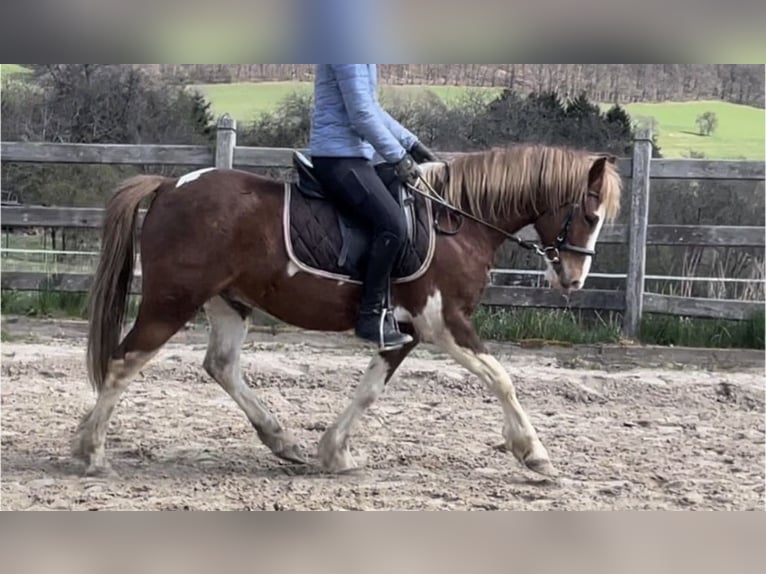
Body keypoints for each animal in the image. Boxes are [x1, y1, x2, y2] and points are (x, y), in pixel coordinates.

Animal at [73, 144, 621, 478]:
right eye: (590, 214)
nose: (573, 279)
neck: (457, 222)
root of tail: (171, 186)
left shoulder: (404, 331)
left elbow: (369, 390)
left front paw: (334, 452)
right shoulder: (444, 323)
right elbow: (501, 378)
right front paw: (534, 454)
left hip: (228, 302)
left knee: (221, 366)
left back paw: (282, 442)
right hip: (171, 301)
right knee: (122, 363)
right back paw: (91, 453)